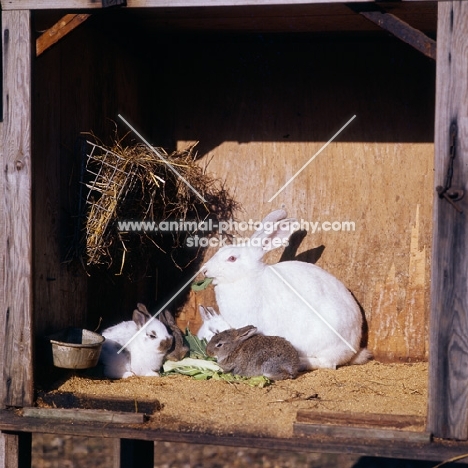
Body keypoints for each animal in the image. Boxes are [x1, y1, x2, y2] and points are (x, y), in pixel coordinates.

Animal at [201, 208, 372, 370]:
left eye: (232, 258)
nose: (204, 270)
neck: (248, 277)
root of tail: (354, 347)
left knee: (327, 364)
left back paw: (303, 362)